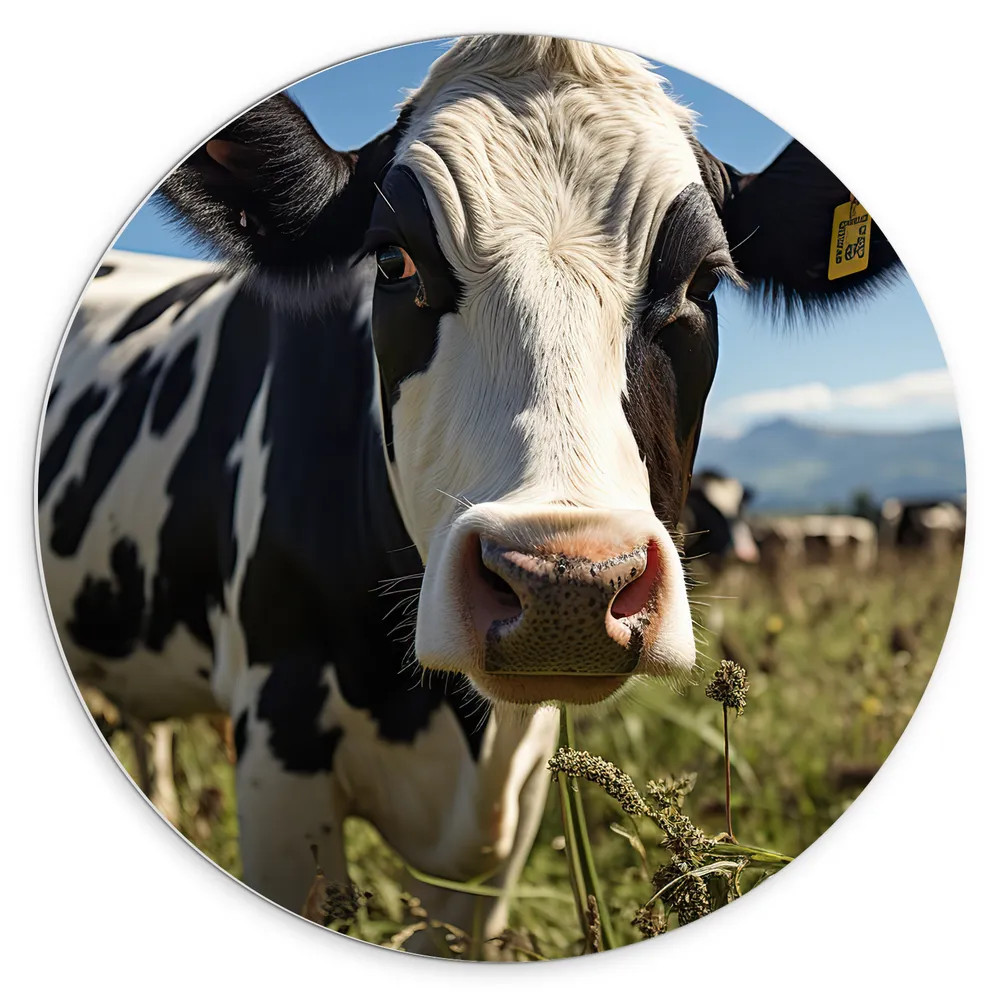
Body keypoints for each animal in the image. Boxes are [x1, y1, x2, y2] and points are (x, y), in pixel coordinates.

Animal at [37, 35, 901, 951]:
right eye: (393, 261)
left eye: (704, 282)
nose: (565, 583)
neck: (459, 726)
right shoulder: (280, 746)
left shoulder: (516, 798)